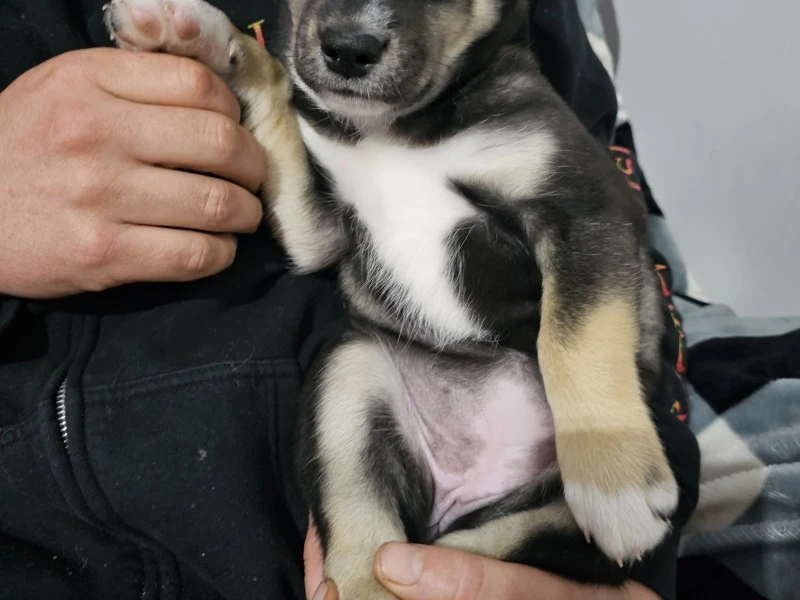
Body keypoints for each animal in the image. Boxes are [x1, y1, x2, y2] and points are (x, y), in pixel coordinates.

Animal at [104, 0, 680, 596]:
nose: (348, 49)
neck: (393, 130)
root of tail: (460, 487)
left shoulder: (585, 209)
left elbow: (574, 338)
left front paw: (613, 479)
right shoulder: (320, 233)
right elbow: (281, 99)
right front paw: (202, 36)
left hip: (589, 502)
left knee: (491, 544)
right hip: (351, 376)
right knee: (370, 540)